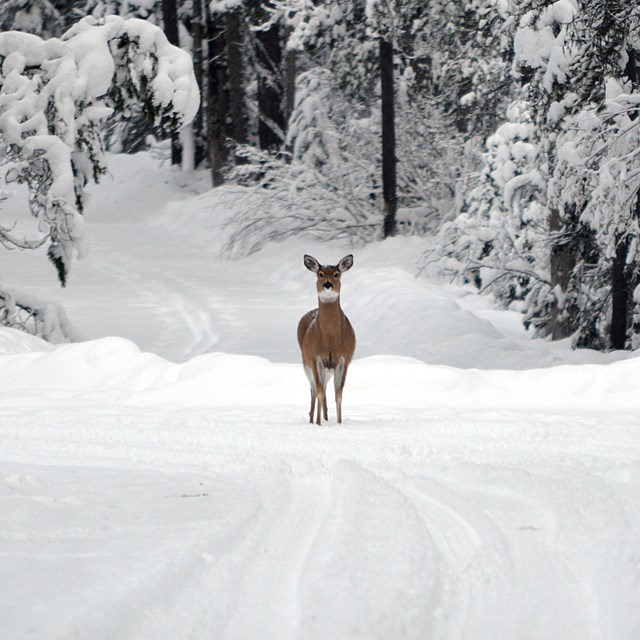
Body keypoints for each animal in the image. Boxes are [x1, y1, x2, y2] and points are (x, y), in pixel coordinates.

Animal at [298, 254, 358, 424]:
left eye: (337, 274)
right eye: (320, 274)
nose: (328, 284)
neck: (331, 340)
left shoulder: (344, 359)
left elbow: (338, 395)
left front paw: (339, 423)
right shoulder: (315, 358)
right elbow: (318, 392)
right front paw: (318, 424)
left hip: (327, 370)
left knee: (324, 389)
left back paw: (324, 417)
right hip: (306, 363)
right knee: (314, 390)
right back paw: (313, 419)